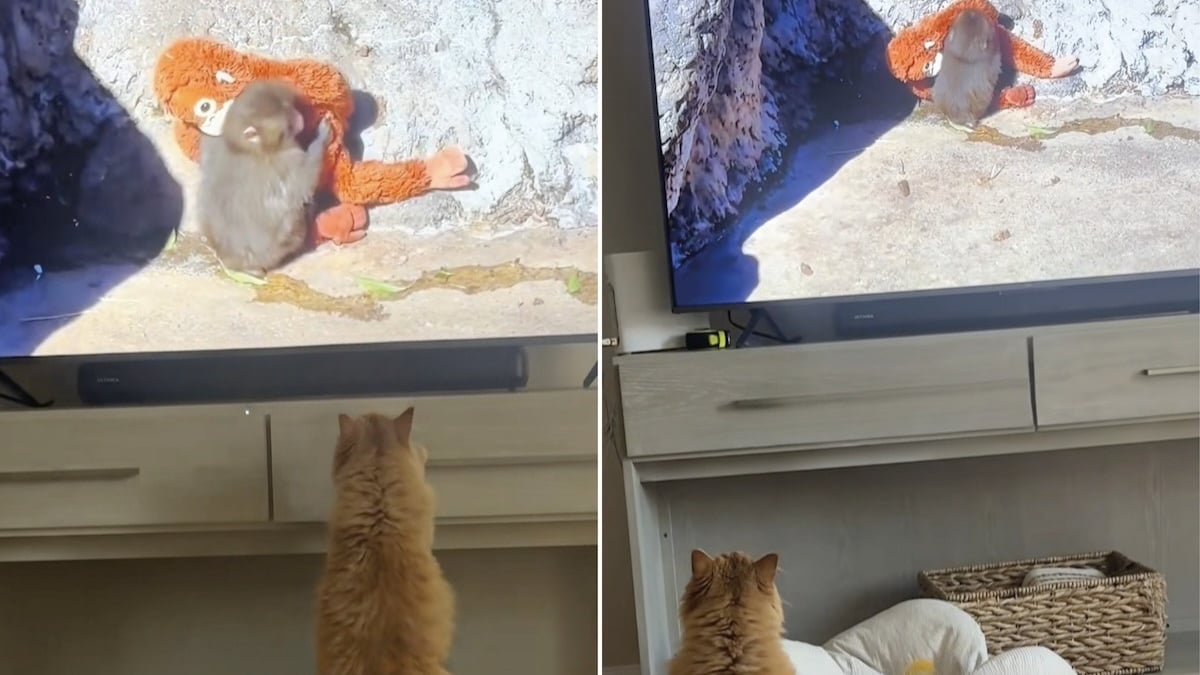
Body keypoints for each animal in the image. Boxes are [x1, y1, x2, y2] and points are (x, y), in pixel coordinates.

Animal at [197, 80, 332, 276]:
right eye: (288, 123)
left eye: (290, 107)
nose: (299, 117)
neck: (246, 148)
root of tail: (230, 261)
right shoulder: (289, 159)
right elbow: (304, 184)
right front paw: (321, 137)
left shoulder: (213, 142)